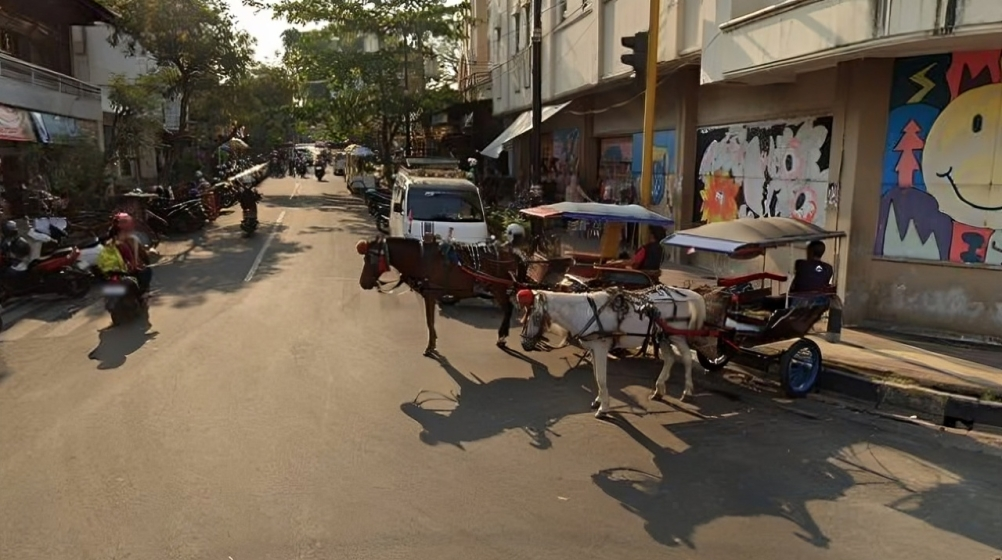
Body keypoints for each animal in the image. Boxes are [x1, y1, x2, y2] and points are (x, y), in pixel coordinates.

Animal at [356, 235, 521, 356]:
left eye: (369, 259)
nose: (362, 283)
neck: (421, 258)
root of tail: (513, 253)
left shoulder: (430, 294)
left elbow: (430, 321)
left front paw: (430, 346)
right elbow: (430, 321)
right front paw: (433, 343)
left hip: (499, 288)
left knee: (508, 308)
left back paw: (502, 336)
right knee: (508, 308)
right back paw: (502, 336)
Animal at [521, 288, 709, 416]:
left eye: (534, 316)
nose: (524, 343)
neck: (585, 313)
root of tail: (688, 294)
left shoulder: (601, 347)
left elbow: (601, 378)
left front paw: (604, 408)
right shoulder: (594, 349)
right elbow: (596, 376)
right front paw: (599, 400)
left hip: (676, 335)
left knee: (686, 358)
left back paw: (687, 391)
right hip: (662, 337)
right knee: (670, 358)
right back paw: (659, 389)